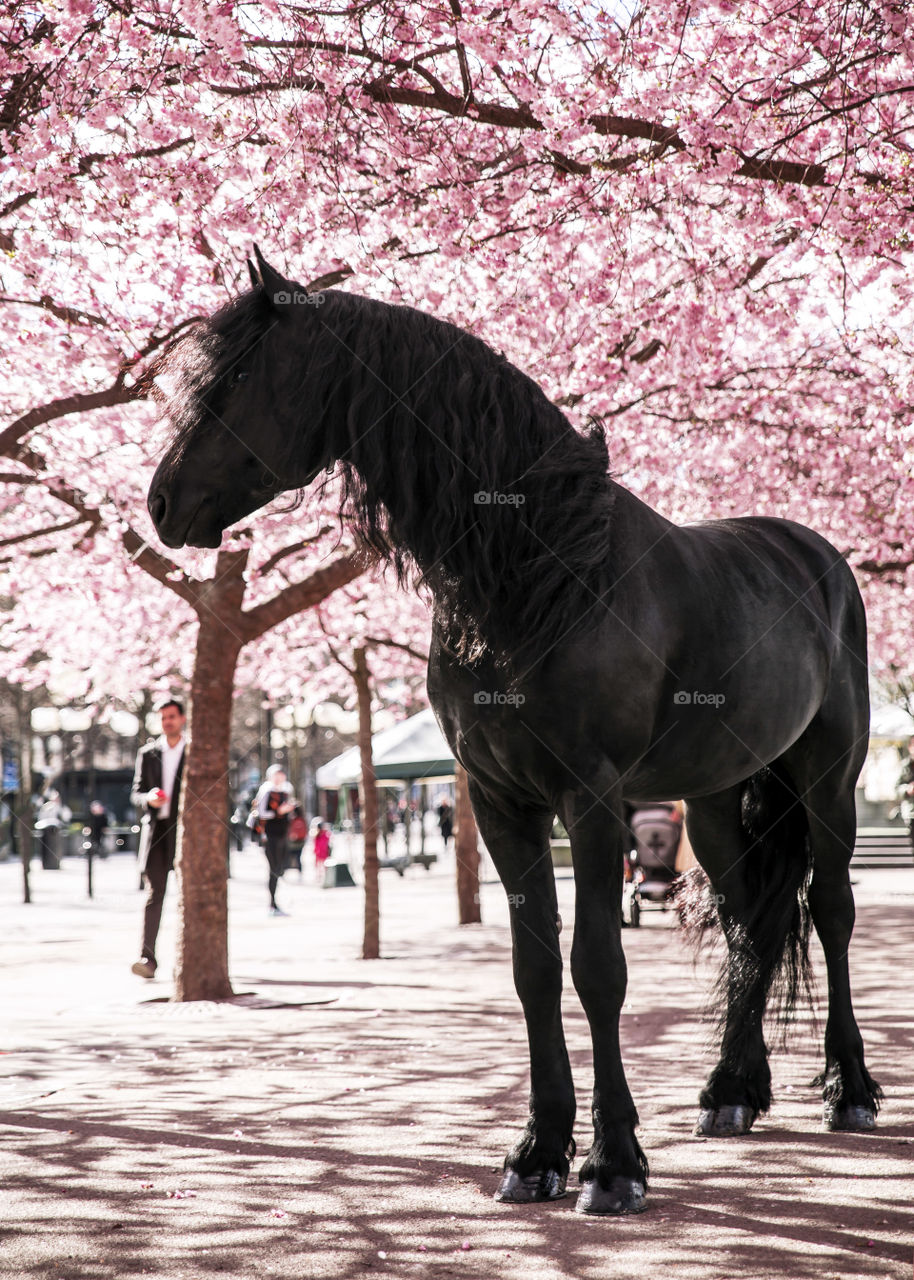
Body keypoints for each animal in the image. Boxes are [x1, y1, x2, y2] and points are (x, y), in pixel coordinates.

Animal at [147, 247, 875, 1208]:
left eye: (234, 378)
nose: (161, 504)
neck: (542, 570)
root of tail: (818, 558)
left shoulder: (592, 802)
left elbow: (598, 967)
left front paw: (613, 1165)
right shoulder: (500, 801)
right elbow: (534, 972)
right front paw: (537, 1154)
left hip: (829, 780)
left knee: (829, 909)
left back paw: (850, 1090)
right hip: (720, 797)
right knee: (749, 920)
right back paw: (730, 1092)